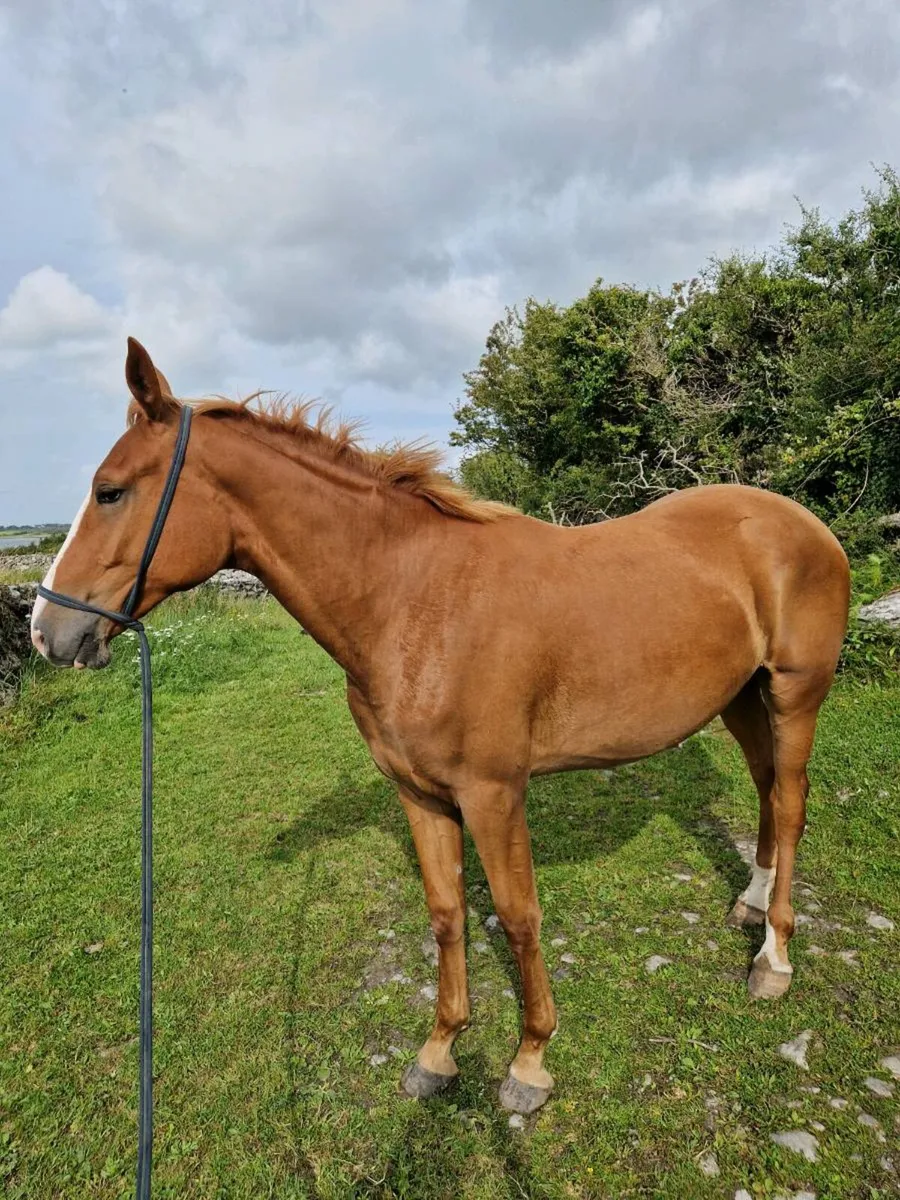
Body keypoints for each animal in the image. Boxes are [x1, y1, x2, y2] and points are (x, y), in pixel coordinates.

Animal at [31, 338, 850, 1115]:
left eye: (110, 491)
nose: (46, 630)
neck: (412, 601)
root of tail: (801, 523)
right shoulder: (420, 795)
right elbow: (448, 913)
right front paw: (440, 1051)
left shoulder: (494, 795)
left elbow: (518, 918)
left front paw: (529, 1061)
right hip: (741, 698)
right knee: (766, 791)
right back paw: (750, 905)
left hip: (795, 695)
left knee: (791, 803)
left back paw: (773, 958)